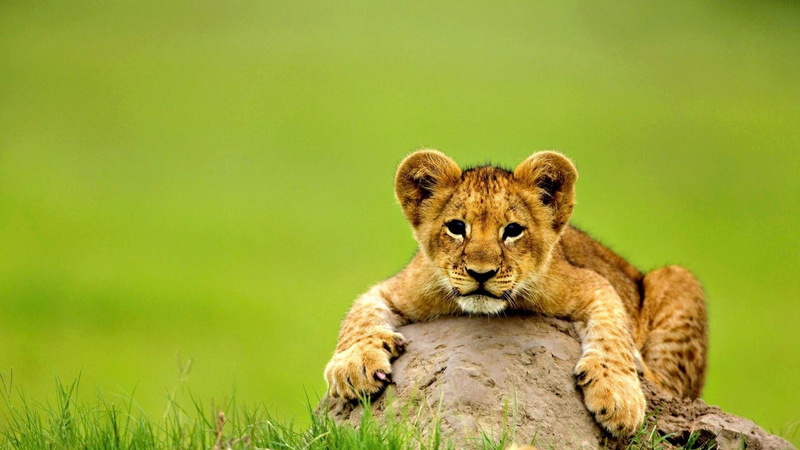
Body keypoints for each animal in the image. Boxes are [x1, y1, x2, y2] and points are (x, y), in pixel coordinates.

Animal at [324, 150, 708, 437]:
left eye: (512, 231)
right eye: (456, 228)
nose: (481, 273)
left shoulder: (592, 282)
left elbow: (614, 334)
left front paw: (618, 395)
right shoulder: (399, 287)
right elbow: (359, 316)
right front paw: (354, 366)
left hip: (678, 278)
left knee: (670, 385)